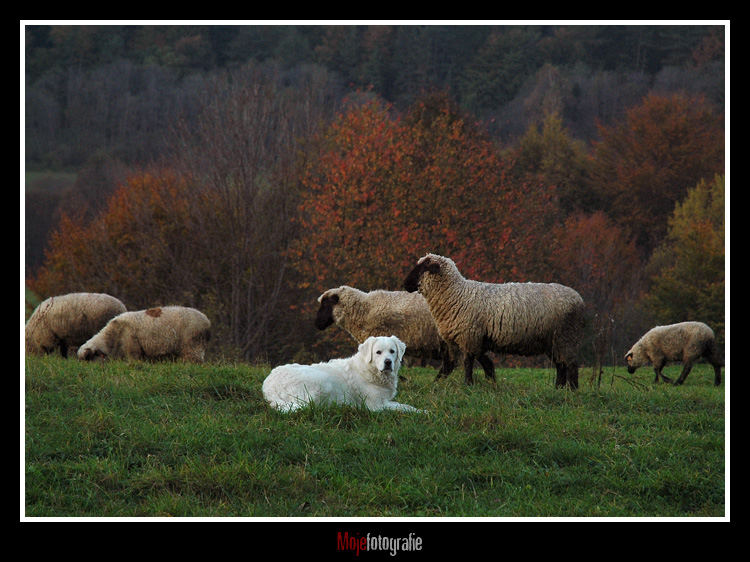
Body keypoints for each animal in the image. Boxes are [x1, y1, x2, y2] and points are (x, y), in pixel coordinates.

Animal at [262, 332, 426, 412]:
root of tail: (269, 386)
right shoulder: (376, 405)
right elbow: (403, 407)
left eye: (392, 351)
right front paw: (422, 411)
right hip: (321, 381)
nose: (388, 362)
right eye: (378, 352)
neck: (370, 370)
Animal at [406, 253, 588, 388]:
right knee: (560, 365)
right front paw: (491, 383)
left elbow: (468, 363)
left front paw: (468, 384)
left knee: (571, 365)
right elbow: (483, 363)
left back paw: (572, 391)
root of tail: (579, 299)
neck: (456, 294)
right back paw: (558, 389)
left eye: (423, 267)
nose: (405, 284)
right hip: (554, 341)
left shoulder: (469, 336)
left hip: (566, 337)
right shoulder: (476, 339)